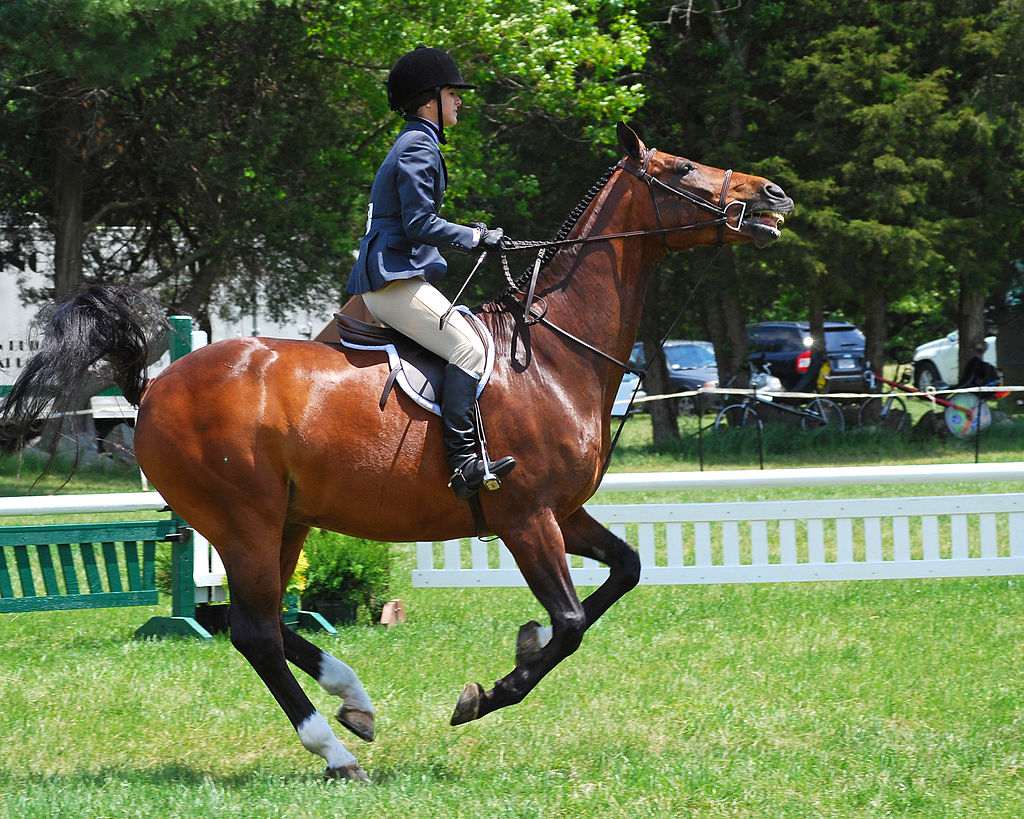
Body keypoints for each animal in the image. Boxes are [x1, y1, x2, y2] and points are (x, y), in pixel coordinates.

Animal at [0, 123, 790, 782]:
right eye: (681, 168)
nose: (774, 194)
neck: (555, 352)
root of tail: (156, 385)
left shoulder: (564, 512)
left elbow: (624, 570)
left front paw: (521, 645)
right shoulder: (525, 515)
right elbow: (568, 625)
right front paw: (487, 692)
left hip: (284, 522)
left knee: (258, 622)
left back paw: (353, 699)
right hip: (244, 520)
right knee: (254, 630)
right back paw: (334, 748)